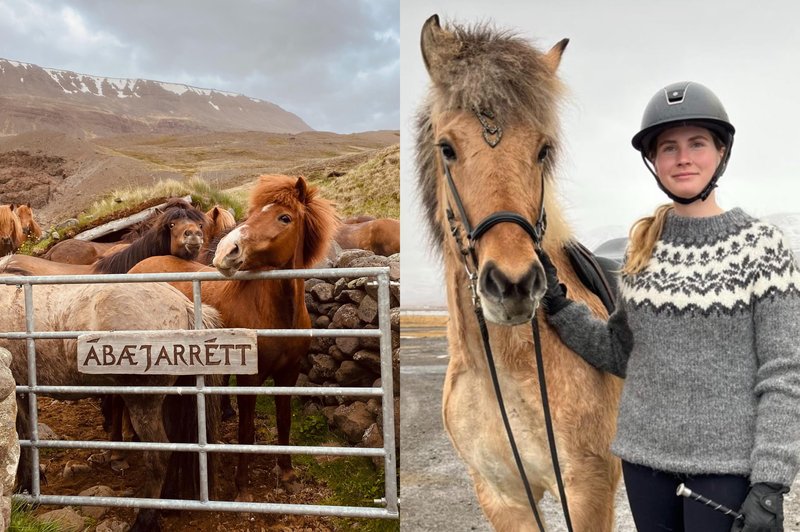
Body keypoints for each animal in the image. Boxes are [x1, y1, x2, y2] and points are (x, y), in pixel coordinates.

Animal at [127, 176, 338, 498]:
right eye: (249, 215)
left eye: (284, 218)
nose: (227, 251)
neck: (275, 314)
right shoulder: (249, 379)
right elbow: (246, 430)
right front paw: (242, 487)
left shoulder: (288, 374)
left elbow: (284, 421)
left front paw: (287, 473)